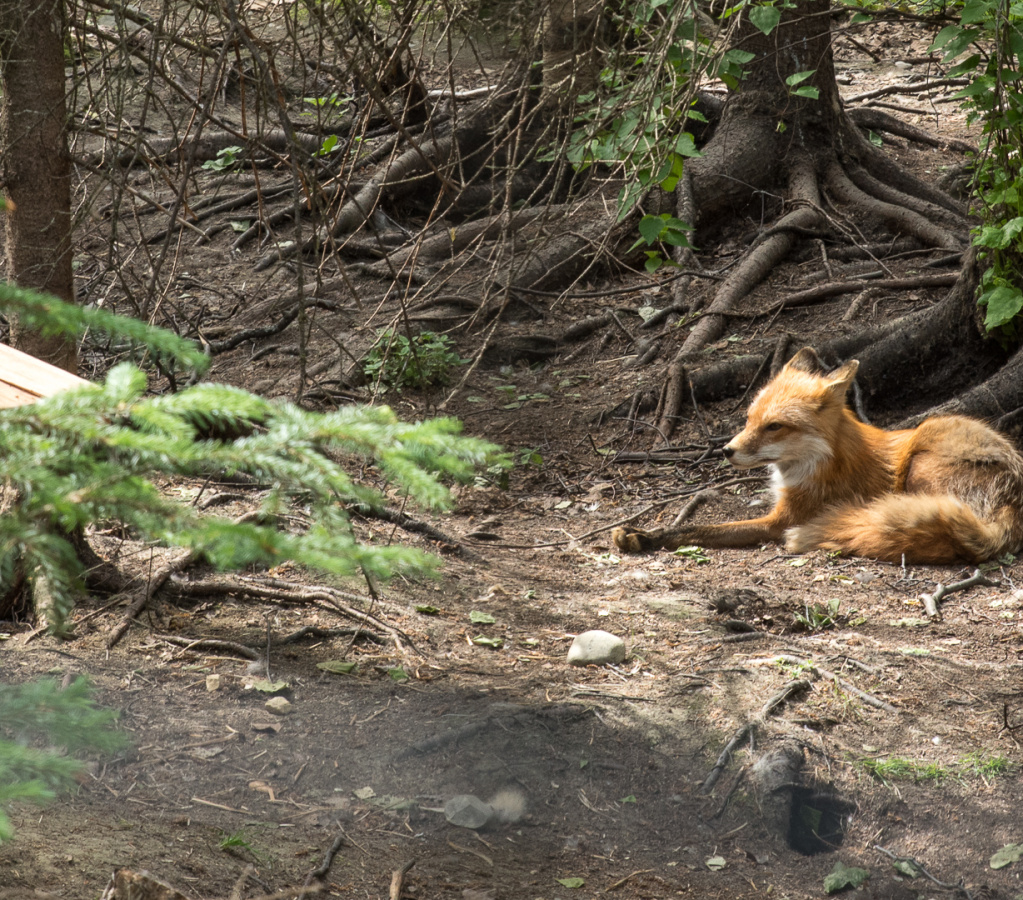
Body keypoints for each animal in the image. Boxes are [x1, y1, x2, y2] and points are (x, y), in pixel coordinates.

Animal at [612, 347, 1023, 565]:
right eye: (749, 419)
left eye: (775, 426)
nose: (727, 451)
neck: (819, 461)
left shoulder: (781, 520)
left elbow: (696, 529)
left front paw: (644, 536)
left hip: (923, 458)